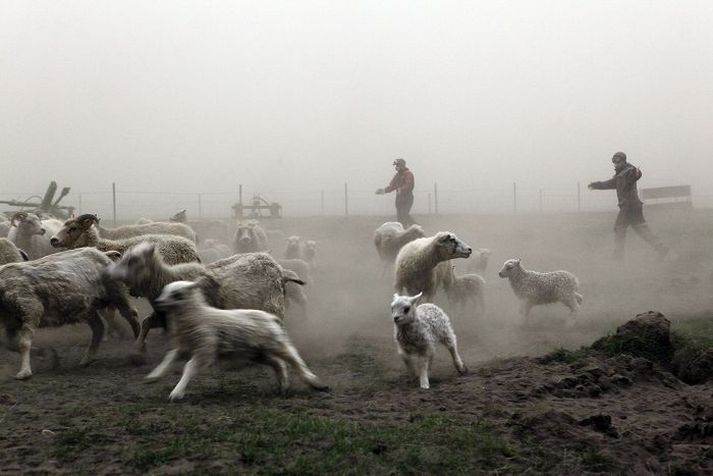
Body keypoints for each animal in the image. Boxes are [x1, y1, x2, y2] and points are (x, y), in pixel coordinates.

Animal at [0, 245, 140, 380]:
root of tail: (103, 254)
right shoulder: (10, 321)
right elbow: (11, 345)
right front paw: (49, 355)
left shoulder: (31, 308)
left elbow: (23, 344)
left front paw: (24, 372)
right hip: (87, 307)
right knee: (98, 327)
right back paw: (87, 359)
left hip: (116, 292)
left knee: (131, 315)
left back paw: (138, 348)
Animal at [106, 244, 290, 352]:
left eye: (133, 261)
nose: (111, 274)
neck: (167, 280)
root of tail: (274, 264)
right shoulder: (164, 315)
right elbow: (146, 323)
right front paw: (138, 347)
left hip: (273, 306)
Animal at [147, 280, 330, 400]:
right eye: (164, 290)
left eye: (176, 294)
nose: (158, 302)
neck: (197, 316)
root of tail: (270, 317)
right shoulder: (183, 347)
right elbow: (169, 357)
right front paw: (154, 375)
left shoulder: (205, 349)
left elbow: (189, 367)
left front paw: (177, 392)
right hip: (258, 352)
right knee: (278, 363)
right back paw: (283, 385)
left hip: (275, 343)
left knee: (293, 358)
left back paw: (314, 382)